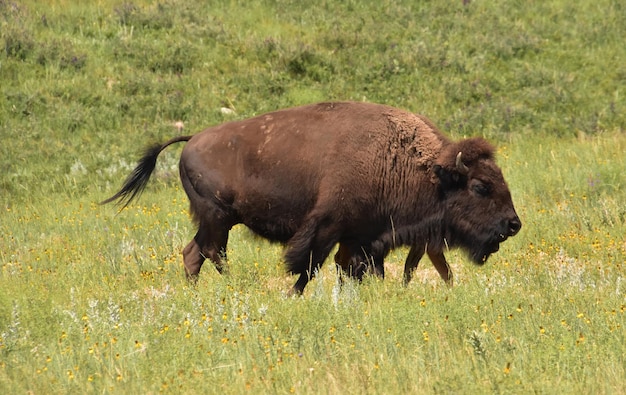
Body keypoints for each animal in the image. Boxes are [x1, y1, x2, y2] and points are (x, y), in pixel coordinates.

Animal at [102, 102, 520, 294]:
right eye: (480, 186)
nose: (513, 224)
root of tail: (192, 140)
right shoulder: (326, 226)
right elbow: (308, 265)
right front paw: (293, 295)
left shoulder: (362, 237)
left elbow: (356, 269)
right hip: (215, 216)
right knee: (208, 252)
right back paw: (231, 287)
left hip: (216, 220)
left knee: (195, 252)